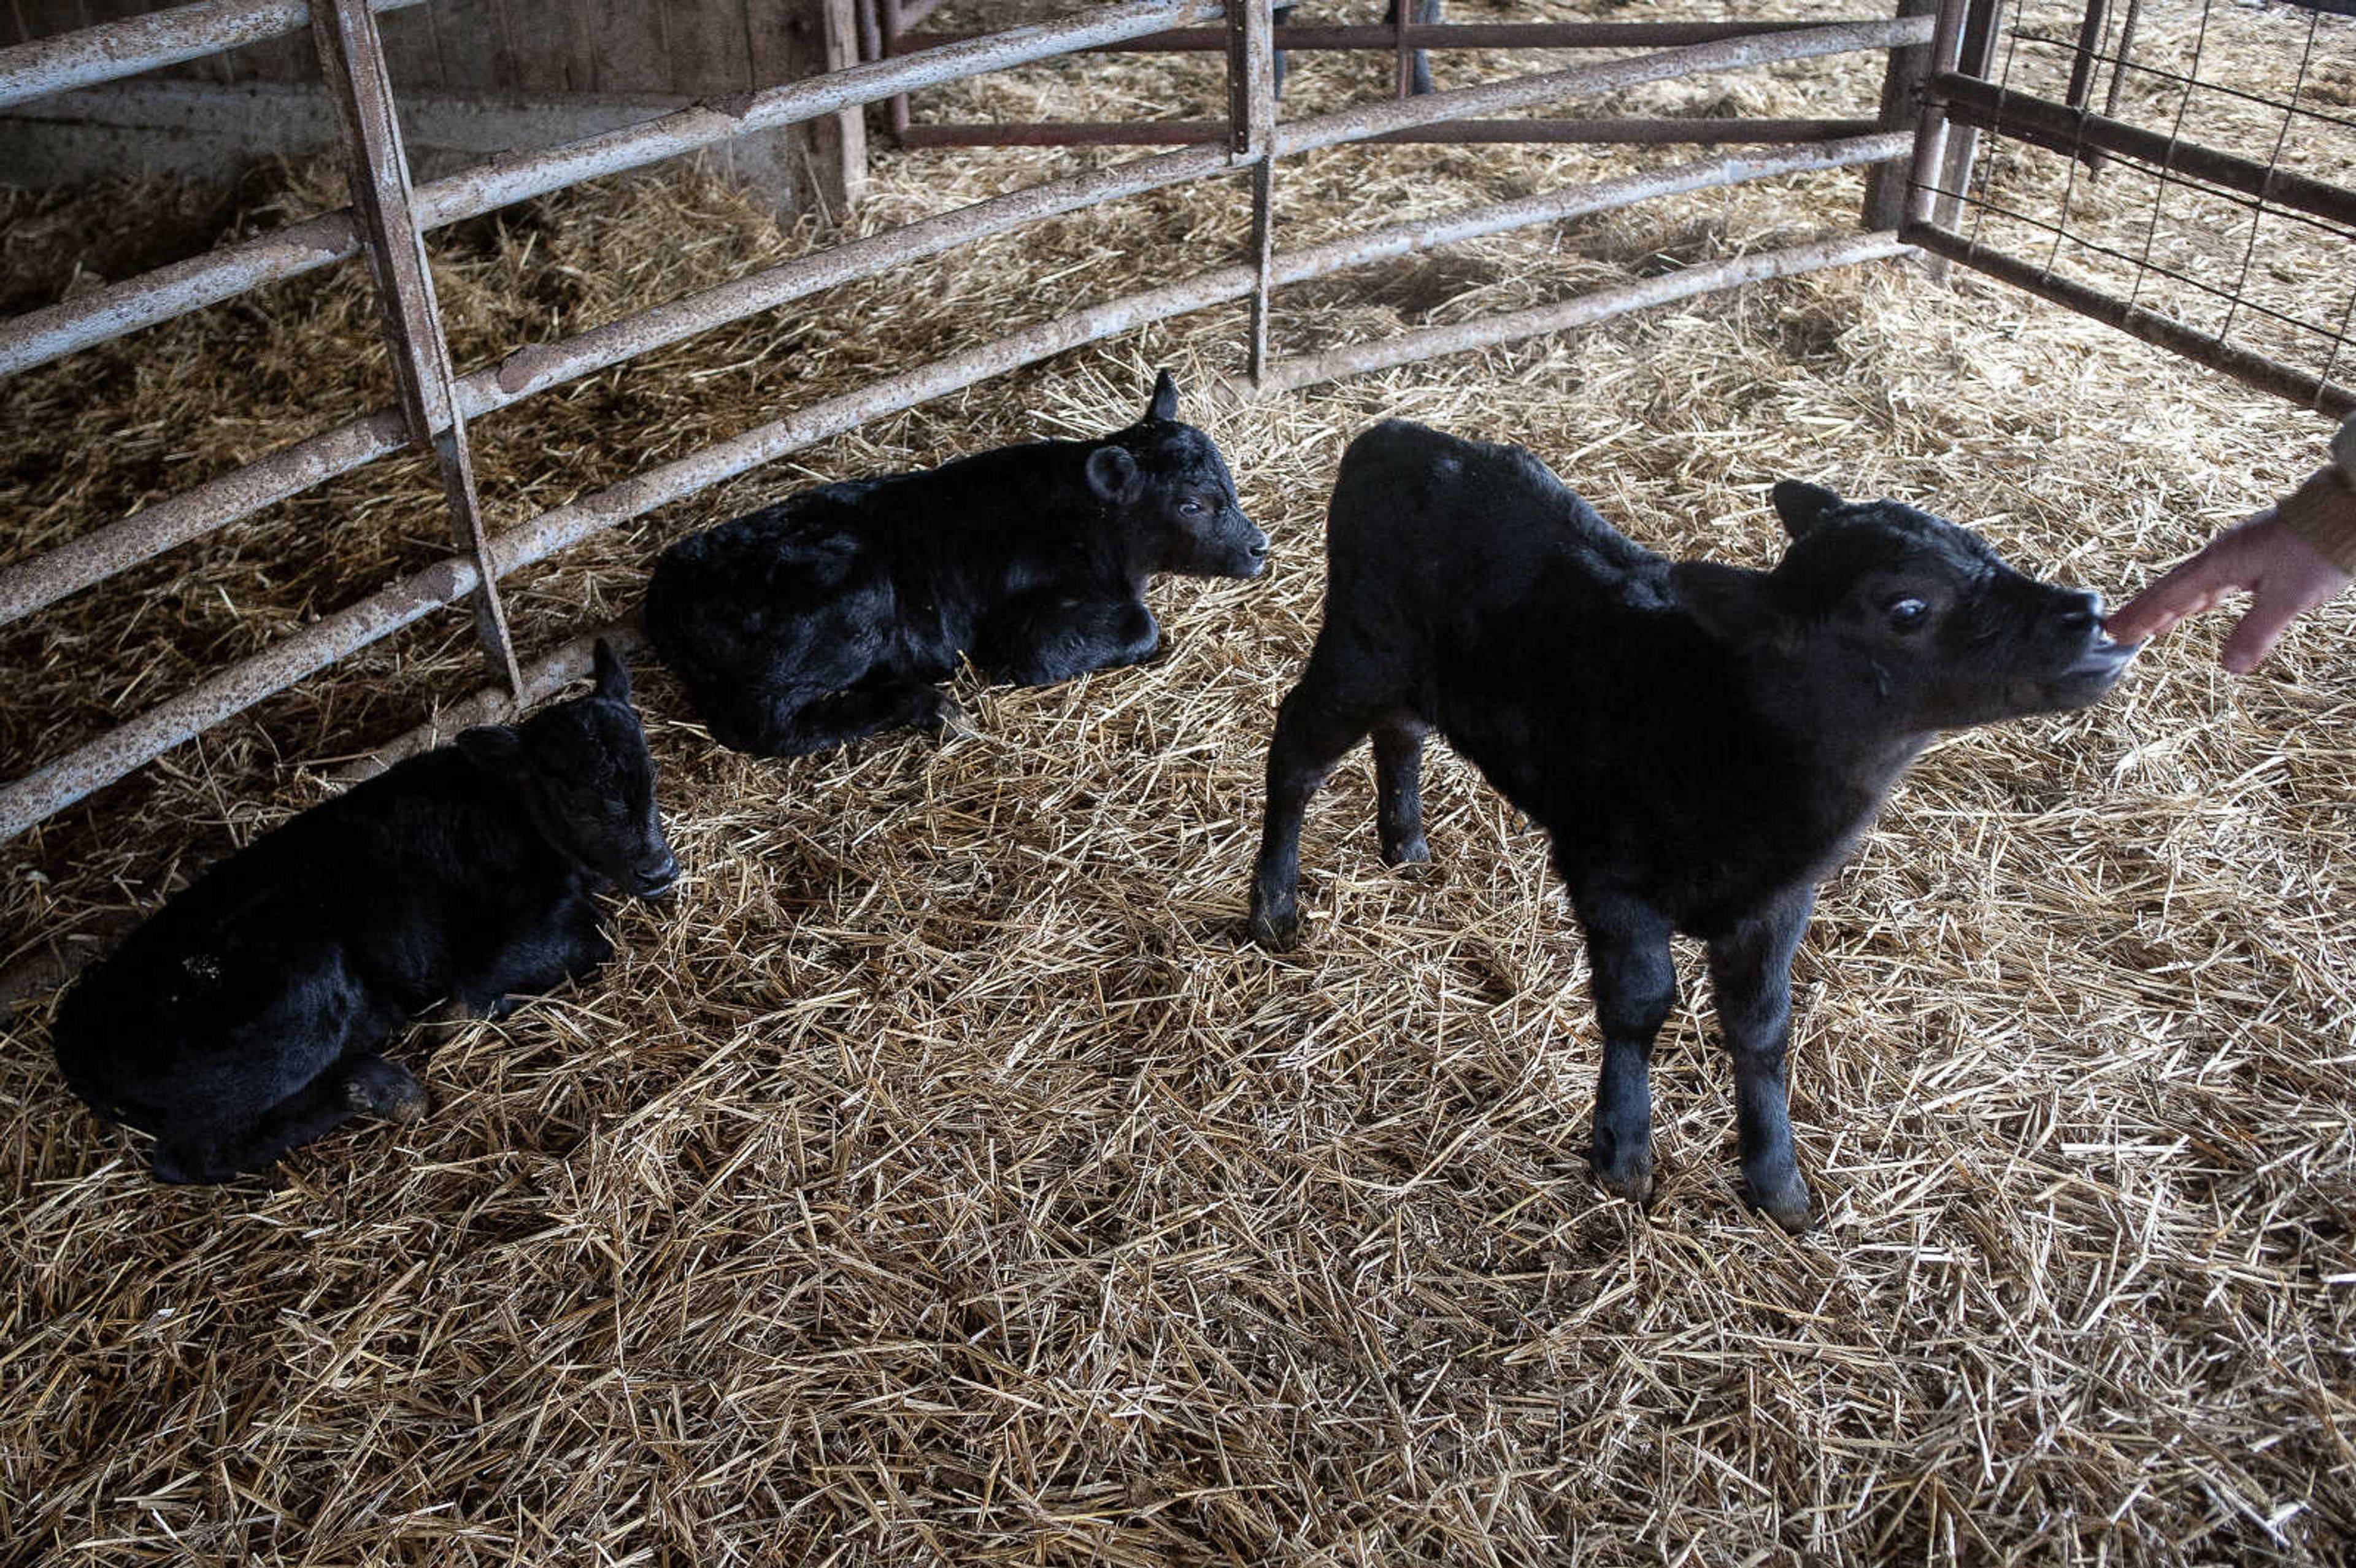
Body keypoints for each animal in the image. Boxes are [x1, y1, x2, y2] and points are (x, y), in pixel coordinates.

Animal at [53, 640, 683, 1177]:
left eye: (650, 770)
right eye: (576, 799)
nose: (659, 869)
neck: (510, 812)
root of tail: (77, 1021)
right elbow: (537, 963)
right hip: (301, 988)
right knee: (188, 1156)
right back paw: (381, 1091)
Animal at [641, 369, 1272, 753]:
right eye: (1191, 505)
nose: (1259, 546)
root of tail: (671, 581)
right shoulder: (1016, 634)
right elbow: (1138, 626)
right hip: (847, 606)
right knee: (767, 726)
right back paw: (926, 705)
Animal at [1253, 421, 2139, 1224]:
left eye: (1984, 547)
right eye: (1908, 607)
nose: (2088, 613)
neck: (1727, 724)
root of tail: (1393, 435)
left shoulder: (1778, 903)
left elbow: (1763, 1027)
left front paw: (1779, 1183)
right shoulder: (1609, 874)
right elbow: (1642, 1003)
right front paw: (1623, 1152)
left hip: (1411, 671)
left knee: (1401, 731)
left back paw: (1404, 841)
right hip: (1363, 645)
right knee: (1295, 749)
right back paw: (1273, 904)